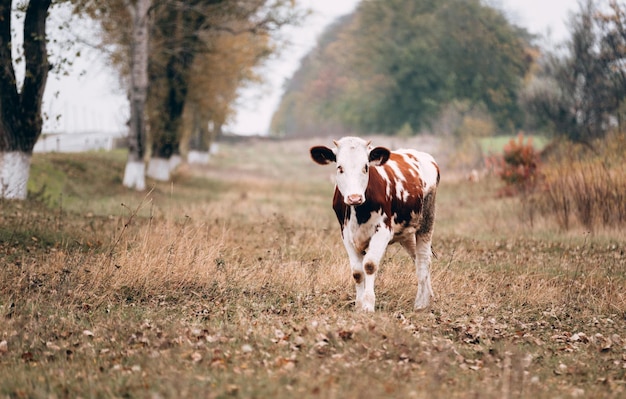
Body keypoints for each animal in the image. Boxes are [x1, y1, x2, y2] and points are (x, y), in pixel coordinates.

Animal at [308, 138, 438, 312]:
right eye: (340, 167)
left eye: (366, 167)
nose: (354, 197)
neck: (358, 212)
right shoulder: (346, 235)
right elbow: (357, 272)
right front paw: (358, 305)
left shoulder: (383, 231)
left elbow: (369, 265)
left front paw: (368, 305)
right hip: (406, 232)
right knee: (416, 258)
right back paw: (428, 297)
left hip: (426, 221)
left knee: (423, 259)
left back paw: (421, 304)